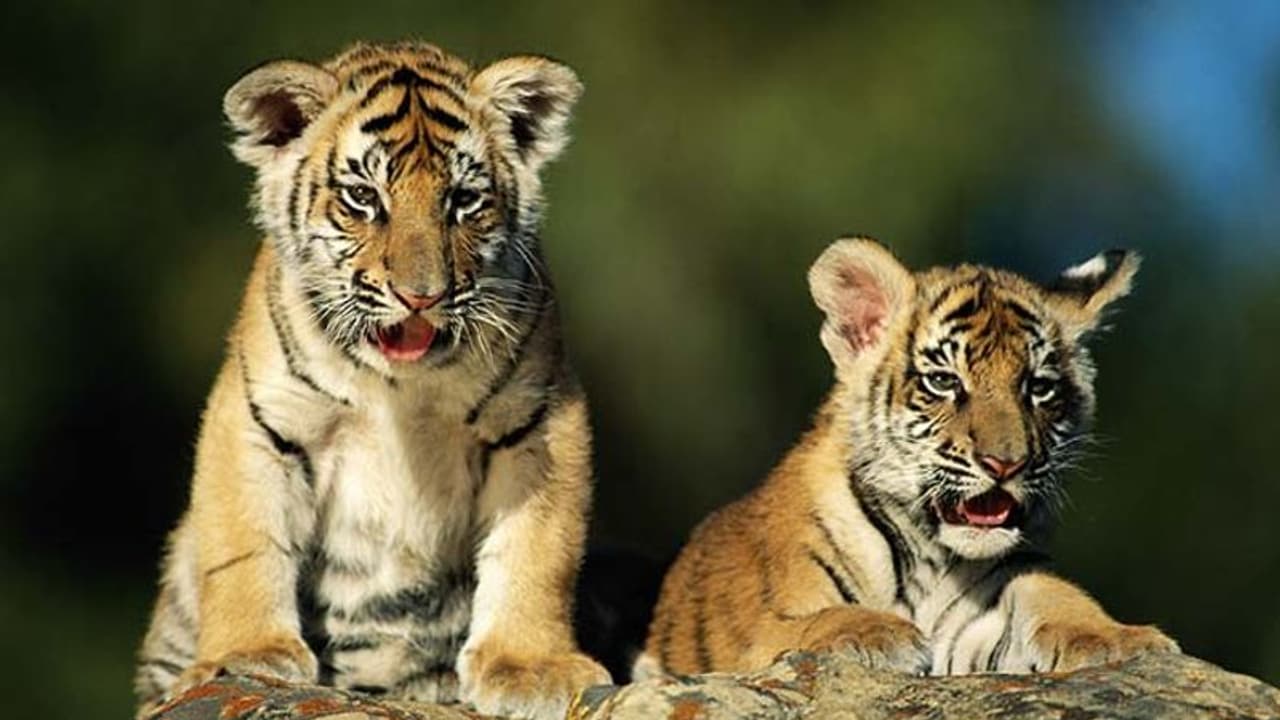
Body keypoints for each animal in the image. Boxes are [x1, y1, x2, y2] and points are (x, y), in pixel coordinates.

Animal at [134, 41, 611, 720]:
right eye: (363, 198)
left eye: (463, 200)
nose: (421, 296)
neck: (401, 387)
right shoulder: (259, 418)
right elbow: (244, 542)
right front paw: (247, 653)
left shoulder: (537, 419)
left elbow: (540, 548)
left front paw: (530, 666)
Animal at [637, 237, 1179, 679]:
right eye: (944, 381)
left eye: (1038, 388)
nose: (1006, 464)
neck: (929, 560)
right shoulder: (753, 640)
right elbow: (805, 625)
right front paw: (877, 632)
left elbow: (1055, 591)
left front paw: (1116, 638)